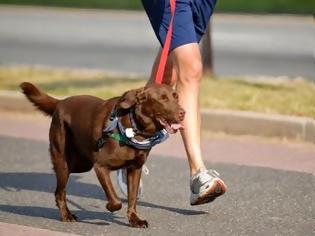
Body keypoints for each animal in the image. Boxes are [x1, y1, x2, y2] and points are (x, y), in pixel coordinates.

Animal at [20, 82, 185, 228]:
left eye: (176, 97)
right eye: (163, 99)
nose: (183, 113)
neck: (133, 127)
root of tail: (61, 102)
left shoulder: (135, 169)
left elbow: (132, 198)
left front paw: (135, 220)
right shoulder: (100, 167)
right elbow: (116, 200)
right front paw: (110, 207)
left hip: (81, 164)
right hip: (64, 162)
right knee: (59, 192)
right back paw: (66, 215)